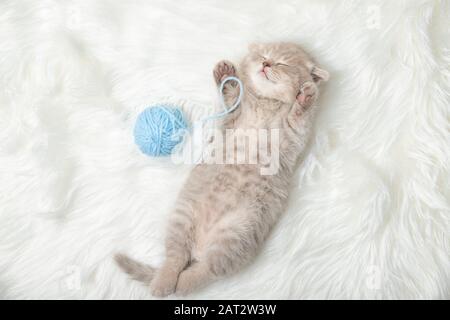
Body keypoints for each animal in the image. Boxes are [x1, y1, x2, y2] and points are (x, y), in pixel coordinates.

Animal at [115, 42, 326, 298]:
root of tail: (200, 247)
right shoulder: (230, 121)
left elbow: (299, 117)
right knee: (176, 258)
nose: (266, 64)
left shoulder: (293, 136)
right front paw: (226, 75)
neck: (266, 102)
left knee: (205, 271)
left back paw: (175, 284)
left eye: (282, 63)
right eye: (264, 55)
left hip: (235, 235)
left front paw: (306, 96)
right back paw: (163, 281)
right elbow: (231, 97)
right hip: (183, 216)